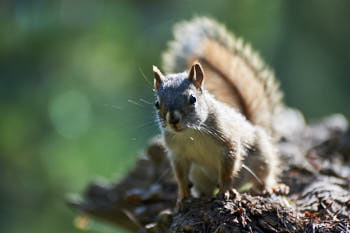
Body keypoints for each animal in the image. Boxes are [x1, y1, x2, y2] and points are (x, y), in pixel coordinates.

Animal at [152, 16, 286, 206]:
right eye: (157, 103)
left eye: (192, 99)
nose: (173, 120)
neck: (191, 132)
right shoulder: (178, 154)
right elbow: (180, 176)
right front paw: (183, 197)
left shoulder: (228, 143)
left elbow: (227, 171)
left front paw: (225, 191)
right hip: (199, 175)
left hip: (262, 156)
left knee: (264, 176)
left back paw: (271, 187)